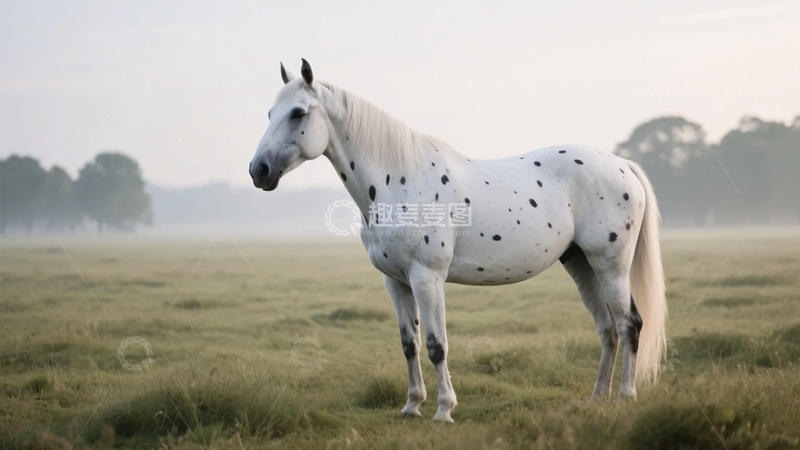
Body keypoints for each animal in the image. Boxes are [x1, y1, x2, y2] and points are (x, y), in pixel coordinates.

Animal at [249, 59, 667, 423]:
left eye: (298, 113)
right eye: (270, 114)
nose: (258, 170)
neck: (398, 179)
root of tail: (622, 165)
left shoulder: (427, 277)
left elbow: (437, 345)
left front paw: (443, 411)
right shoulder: (395, 282)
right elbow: (410, 344)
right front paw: (411, 407)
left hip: (611, 264)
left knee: (629, 324)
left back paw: (626, 397)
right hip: (581, 263)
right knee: (607, 329)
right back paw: (597, 398)